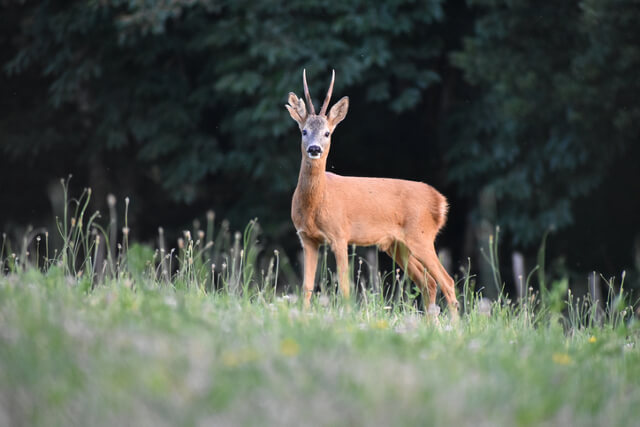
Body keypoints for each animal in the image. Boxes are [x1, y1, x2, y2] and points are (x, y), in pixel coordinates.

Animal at [286, 70, 460, 316]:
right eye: (304, 131)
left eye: (327, 133)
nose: (314, 149)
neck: (317, 202)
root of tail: (440, 201)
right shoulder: (307, 238)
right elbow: (307, 287)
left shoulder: (339, 234)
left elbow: (345, 285)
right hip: (397, 245)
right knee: (429, 283)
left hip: (422, 236)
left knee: (447, 281)